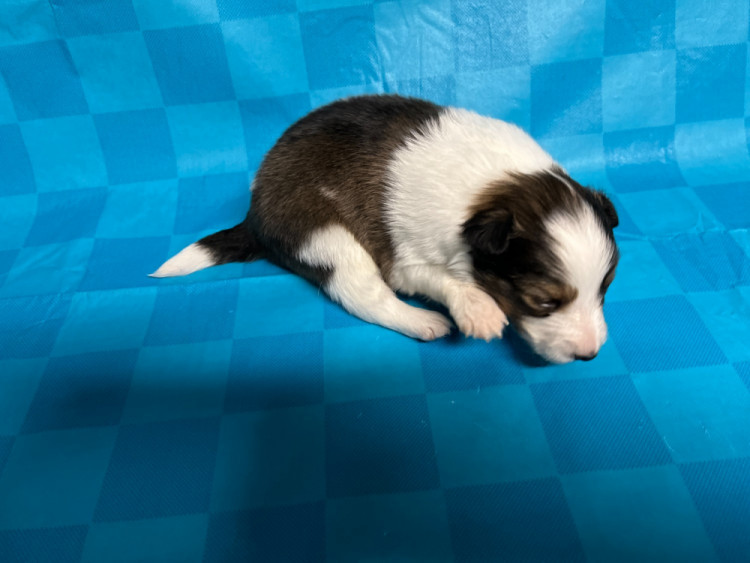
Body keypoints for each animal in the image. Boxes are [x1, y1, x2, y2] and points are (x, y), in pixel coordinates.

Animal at [152, 95, 619, 363]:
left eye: (605, 289)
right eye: (543, 302)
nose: (590, 355)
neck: (502, 188)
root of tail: (253, 214)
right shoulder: (407, 259)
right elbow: (441, 278)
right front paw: (478, 308)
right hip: (323, 234)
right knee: (363, 296)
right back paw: (423, 321)